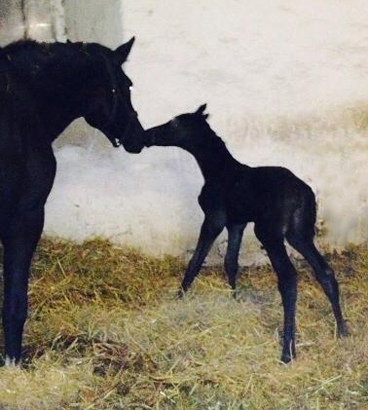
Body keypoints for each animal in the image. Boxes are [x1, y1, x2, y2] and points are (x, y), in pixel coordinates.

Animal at [146, 105, 348, 362]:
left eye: (174, 124)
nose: (148, 135)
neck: (217, 169)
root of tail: (301, 193)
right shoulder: (237, 222)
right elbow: (231, 261)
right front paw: (234, 297)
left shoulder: (214, 219)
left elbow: (196, 261)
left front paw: (179, 297)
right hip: (299, 233)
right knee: (325, 271)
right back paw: (342, 330)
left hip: (269, 232)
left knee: (289, 278)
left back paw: (287, 351)